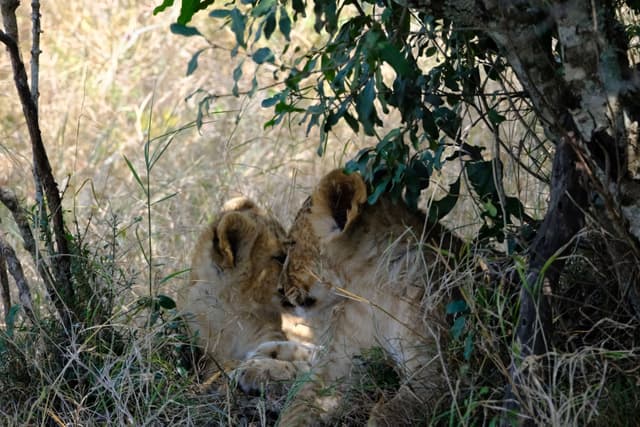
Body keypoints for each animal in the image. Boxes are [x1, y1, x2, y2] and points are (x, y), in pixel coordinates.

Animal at [279, 169, 463, 426]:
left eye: (292, 245)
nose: (279, 289)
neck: (369, 288)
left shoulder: (435, 375)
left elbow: (389, 415)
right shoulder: (339, 361)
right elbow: (298, 405)